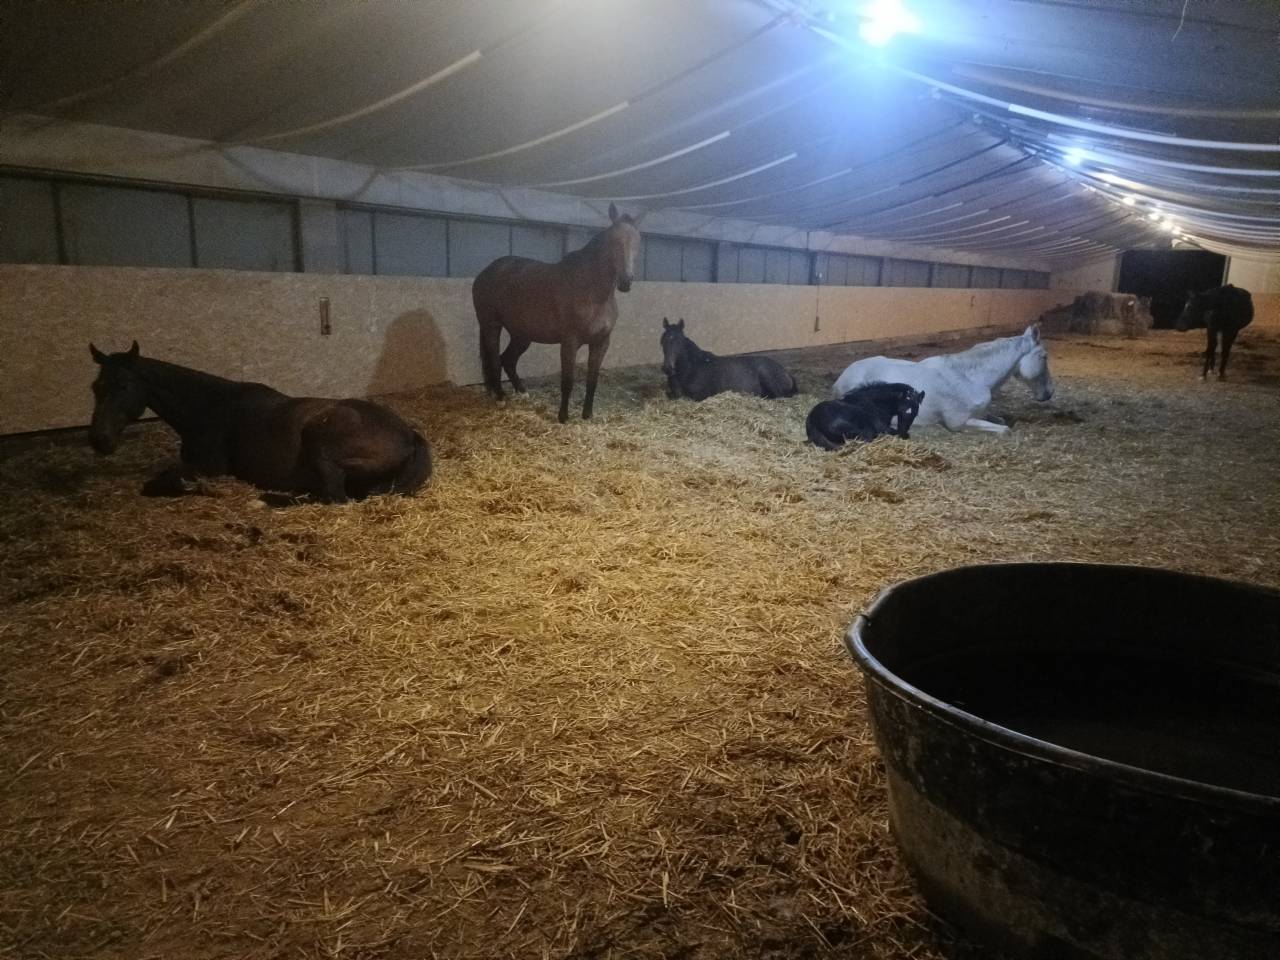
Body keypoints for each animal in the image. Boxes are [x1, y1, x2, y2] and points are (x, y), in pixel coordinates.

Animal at [88, 342, 432, 503]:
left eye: (124, 386)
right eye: (95, 386)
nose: (100, 440)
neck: (211, 407)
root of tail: (409, 435)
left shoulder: (211, 465)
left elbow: (162, 481)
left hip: (319, 444)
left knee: (334, 497)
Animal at [472, 203, 642, 423]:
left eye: (638, 242)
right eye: (613, 241)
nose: (625, 281)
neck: (591, 291)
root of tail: (486, 273)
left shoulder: (601, 342)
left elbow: (592, 380)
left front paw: (587, 415)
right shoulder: (570, 342)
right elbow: (567, 381)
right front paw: (563, 417)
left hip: (522, 334)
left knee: (507, 359)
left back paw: (522, 392)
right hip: (491, 325)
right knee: (494, 358)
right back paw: (500, 398)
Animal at [659, 318, 798, 401]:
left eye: (680, 341)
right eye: (662, 340)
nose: (667, 368)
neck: (692, 369)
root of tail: (786, 372)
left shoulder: (700, 396)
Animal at [831, 324, 1054, 434]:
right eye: (1044, 356)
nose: (1049, 393)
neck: (971, 379)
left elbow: (1000, 420)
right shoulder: (959, 422)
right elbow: (1005, 429)